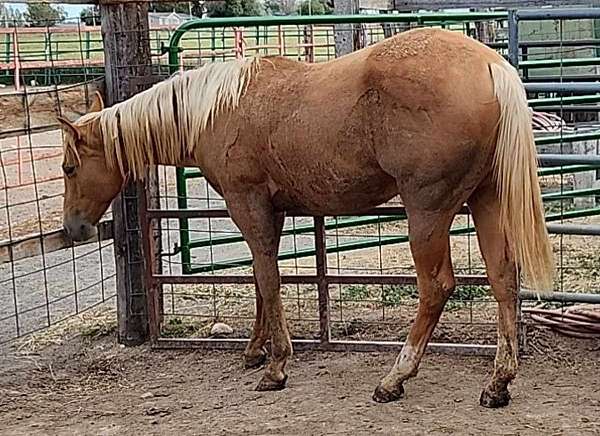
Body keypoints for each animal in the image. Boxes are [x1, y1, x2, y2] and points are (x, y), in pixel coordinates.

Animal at [59, 28, 552, 408]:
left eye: (68, 168)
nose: (73, 229)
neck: (220, 110)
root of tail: (490, 65)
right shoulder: (270, 213)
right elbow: (261, 279)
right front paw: (255, 351)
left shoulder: (248, 205)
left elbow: (268, 278)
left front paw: (276, 367)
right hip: (486, 200)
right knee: (504, 280)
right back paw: (497, 383)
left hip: (427, 212)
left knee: (436, 287)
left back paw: (394, 378)